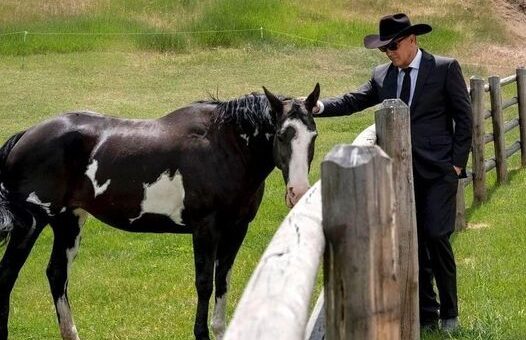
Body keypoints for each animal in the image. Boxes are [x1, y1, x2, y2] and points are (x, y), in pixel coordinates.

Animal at [0, 83, 322, 338]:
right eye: (281, 134)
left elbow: (223, 281)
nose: (298, 191)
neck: (221, 147)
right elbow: (204, 283)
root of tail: (25, 135)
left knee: (57, 274)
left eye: (313, 136)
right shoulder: (205, 229)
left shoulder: (237, 229)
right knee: (8, 275)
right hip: (31, 224)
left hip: (69, 221)